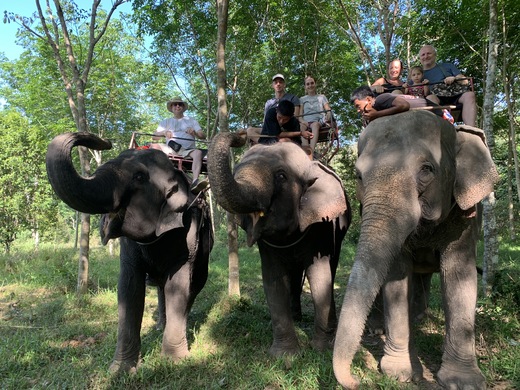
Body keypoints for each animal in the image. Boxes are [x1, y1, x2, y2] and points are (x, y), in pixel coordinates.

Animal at [46, 133, 213, 374]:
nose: (104, 142)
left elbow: (179, 286)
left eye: (139, 177)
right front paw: (120, 370)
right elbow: (128, 288)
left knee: (195, 284)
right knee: (160, 287)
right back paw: (160, 326)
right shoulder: (129, 246)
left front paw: (174, 362)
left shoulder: (188, 231)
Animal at [206, 133, 350, 356]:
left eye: (281, 176)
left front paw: (322, 349)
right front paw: (285, 355)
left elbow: (319, 276)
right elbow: (273, 279)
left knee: (331, 266)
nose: (240, 136)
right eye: (236, 171)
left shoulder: (321, 226)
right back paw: (296, 316)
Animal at [334, 110, 500, 390]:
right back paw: (378, 329)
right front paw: (400, 373)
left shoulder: (466, 217)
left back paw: (419, 317)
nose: (355, 379)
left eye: (426, 169)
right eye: (358, 176)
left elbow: (459, 278)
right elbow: (396, 277)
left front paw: (463, 382)